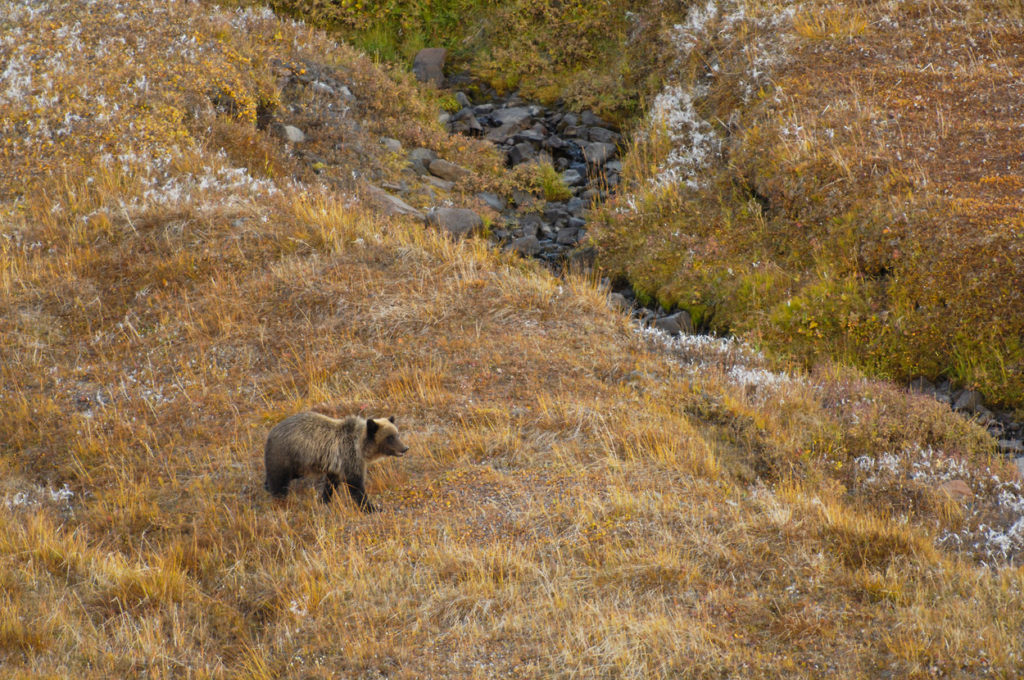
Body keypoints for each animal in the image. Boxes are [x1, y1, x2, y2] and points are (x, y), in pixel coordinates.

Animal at [264, 411, 407, 512]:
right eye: (389, 437)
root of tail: (271, 432)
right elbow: (356, 485)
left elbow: (331, 484)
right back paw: (279, 500)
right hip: (286, 455)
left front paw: (324, 500)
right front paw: (372, 508)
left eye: (397, 434)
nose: (405, 448)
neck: (360, 446)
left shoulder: (337, 465)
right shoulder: (349, 457)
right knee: (279, 480)